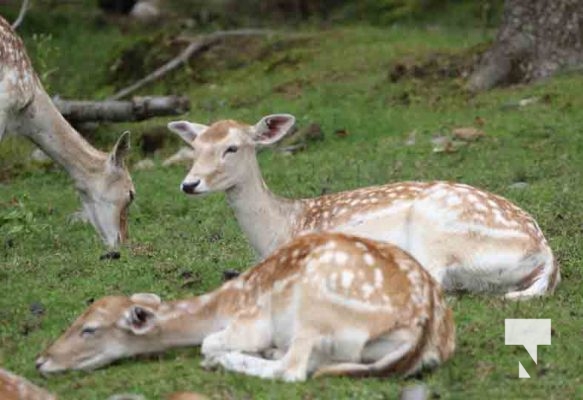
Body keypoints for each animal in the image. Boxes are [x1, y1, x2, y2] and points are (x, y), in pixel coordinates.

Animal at [36, 233, 456, 382]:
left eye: (89, 328)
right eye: (76, 318)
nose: (41, 360)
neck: (223, 303)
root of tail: (424, 327)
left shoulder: (251, 321)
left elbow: (210, 342)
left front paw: (220, 354)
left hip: (317, 310)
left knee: (293, 371)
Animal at [167, 114, 560, 298]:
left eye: (232, 147)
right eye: (195, 147)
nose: (189, 184)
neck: (280, 229)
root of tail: (546, 255)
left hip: (436, 230)